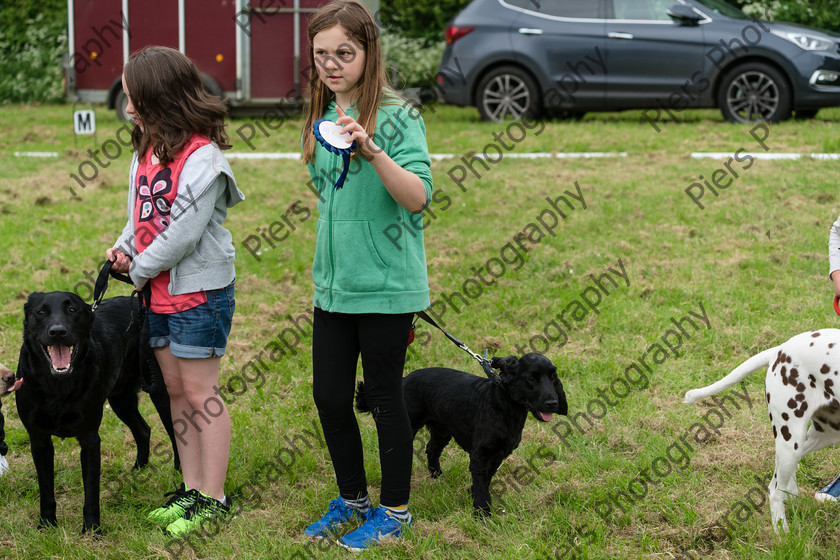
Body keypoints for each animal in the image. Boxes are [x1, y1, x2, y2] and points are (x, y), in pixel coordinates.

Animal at [684, 330, 840, 532]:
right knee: (773, 490)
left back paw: (790, 494)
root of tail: (781, 348)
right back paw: (783, 534)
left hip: (825, 434)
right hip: (791, 438)